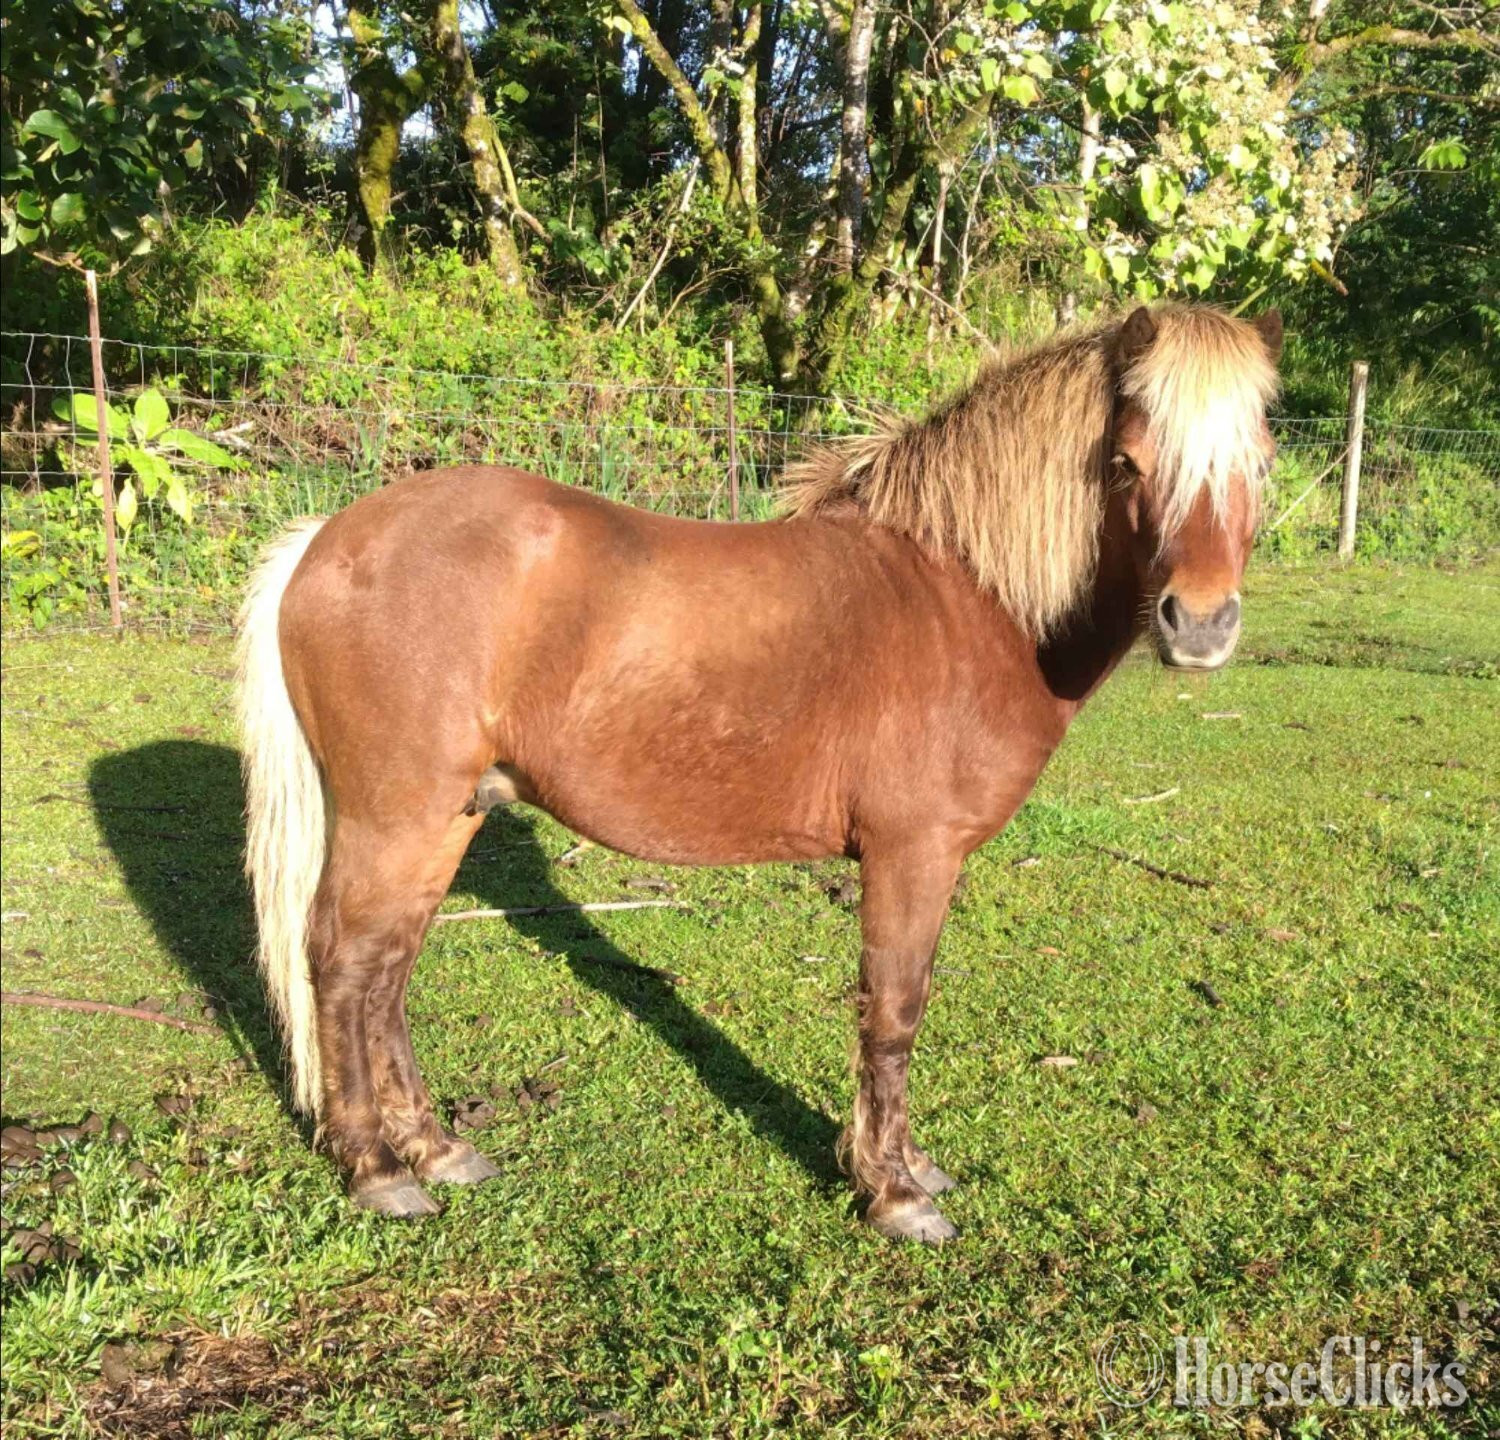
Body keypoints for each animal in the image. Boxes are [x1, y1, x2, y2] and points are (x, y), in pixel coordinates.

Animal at [237, 303, 1282, 1244]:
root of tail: (327, 540)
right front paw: (893, 1192)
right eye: (1128, 463)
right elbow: (893, 1012)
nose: (1200, 626)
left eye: (1261, 464)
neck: (966, 594)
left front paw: (904, 1163)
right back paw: (376, 1168)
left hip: (448, 817)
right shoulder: (912, 855)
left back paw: (437, 1148)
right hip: (397, 816)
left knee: (388, 969)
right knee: (343, 960)